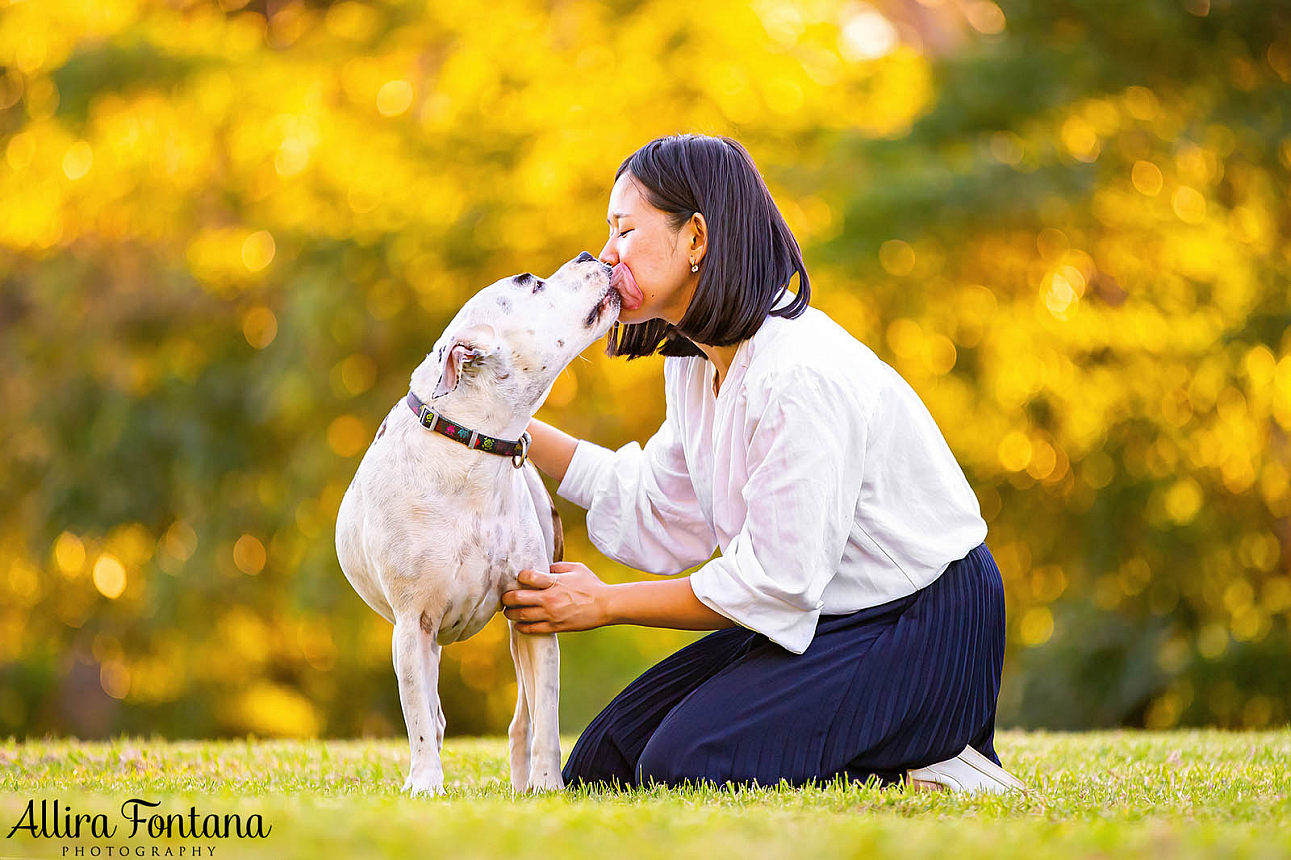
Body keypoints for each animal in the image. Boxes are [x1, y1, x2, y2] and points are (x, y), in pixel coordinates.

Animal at [338, 251, 619, 795]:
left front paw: (549, 787)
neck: (470, 453)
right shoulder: (413, 626)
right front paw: (425, 784)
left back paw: (523, 784)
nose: (589, 255)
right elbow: (418, 719)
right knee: (433, 713)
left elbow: (547, 721)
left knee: (522, 719)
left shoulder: (535, 614)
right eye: (531, 283)